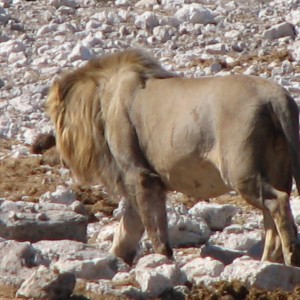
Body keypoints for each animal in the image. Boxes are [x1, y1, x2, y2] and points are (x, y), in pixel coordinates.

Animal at [46, 49, 300, 268]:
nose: (61, 157)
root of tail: (276, 96)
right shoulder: (137, 181)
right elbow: (127, 228)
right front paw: (117, 261)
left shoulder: (140, 175)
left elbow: (154, 227)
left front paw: (162, 262)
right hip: (278, 169)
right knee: (273, 218)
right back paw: (268, 263)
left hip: (241, 172)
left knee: (277, 202)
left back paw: (290, 258)